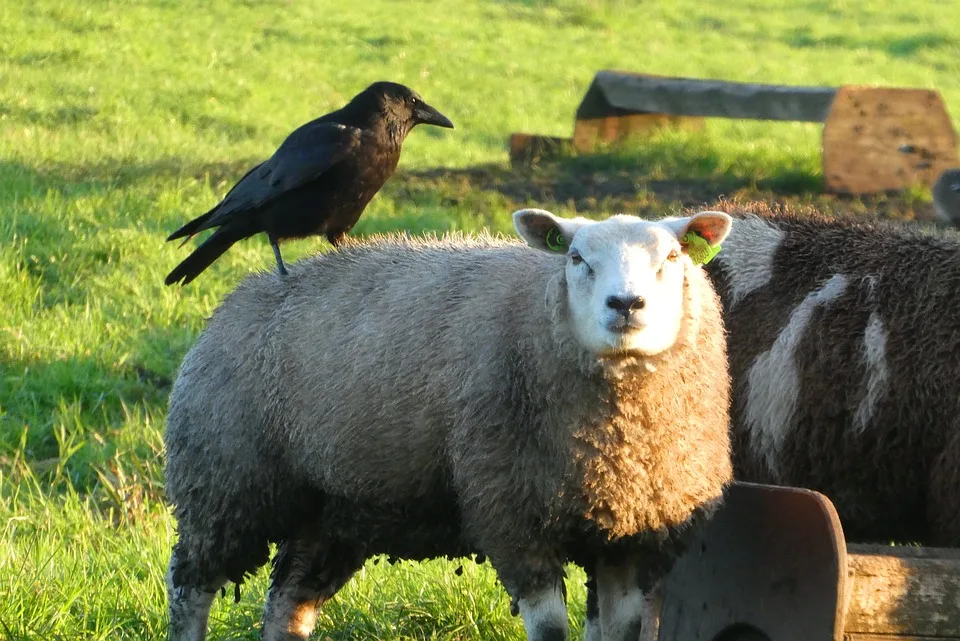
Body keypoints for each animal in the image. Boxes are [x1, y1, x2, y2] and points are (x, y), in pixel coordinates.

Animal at [163, 210, 736, 640]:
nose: (626, 304)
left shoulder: (632, 536)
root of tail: (238, 295)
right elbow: (550, 629)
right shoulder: (513, 517)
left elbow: (623, 631)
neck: (616, 449)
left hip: (331, 505)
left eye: (672, 257)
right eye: (576, 258)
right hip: (223, 479)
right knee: (190, 585)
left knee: (288, 601)